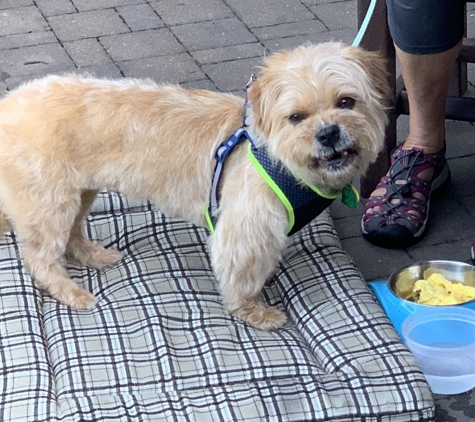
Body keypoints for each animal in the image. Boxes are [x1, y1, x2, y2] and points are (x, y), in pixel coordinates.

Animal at [0, 43, 388, 332]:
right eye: (296, 117)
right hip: (49, 202)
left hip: (80, 191)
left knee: (72, 234)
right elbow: (243, 277)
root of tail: (8, 105)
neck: (278, 157)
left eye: (346, 102)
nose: (328, 133)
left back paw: (93, 255)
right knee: (40, 258)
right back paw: (70, 292)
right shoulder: (245, 232)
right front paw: (254, 312)